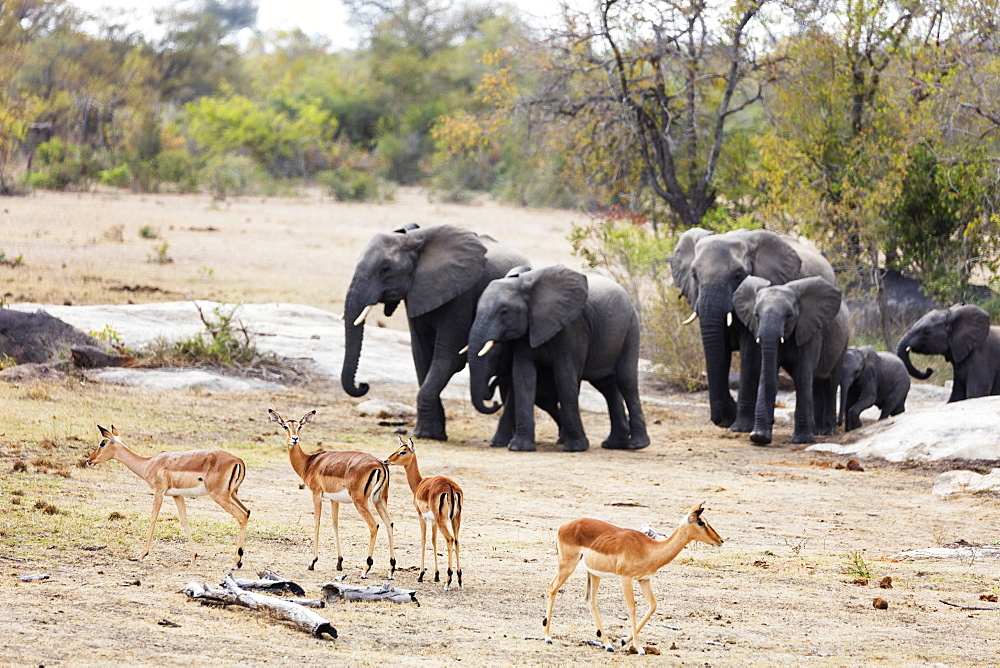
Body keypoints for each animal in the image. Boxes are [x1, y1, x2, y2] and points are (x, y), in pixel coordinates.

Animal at [344, 226, 528, 444]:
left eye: (386, 269)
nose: (363, 385)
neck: (415, 240)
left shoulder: (461, 295)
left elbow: (448, 357)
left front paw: (426, 434)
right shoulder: (416, 295)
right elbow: (421, 356)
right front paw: (430, 434)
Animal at [466, 264, 648, 452]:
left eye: (504, 311)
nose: (494, 403)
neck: (525, 285)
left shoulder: (571, 328)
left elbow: (564, 375)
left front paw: (575, 447)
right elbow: (523, 377)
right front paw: (519, 447)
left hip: (631, 327)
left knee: (626, 380)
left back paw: (637, 444)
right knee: (606, 385)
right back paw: (614, 444)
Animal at [672, 227, 836, 430]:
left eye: (738, 275)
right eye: (694, 275)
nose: (726, 415)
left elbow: (750, 354)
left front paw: (740, 427)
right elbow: (720, 350)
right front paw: (730, 420)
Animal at [732, 274, 848, 446]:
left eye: (788, 315)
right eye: (756, 315)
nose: (772, 421)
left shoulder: (810, 331)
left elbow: (801, 376)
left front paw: (802, 440)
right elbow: (768, 375)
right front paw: (759, 437)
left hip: (843, 343)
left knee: (831, 383)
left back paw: (829, 431)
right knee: (816, 383)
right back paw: (817, 431)